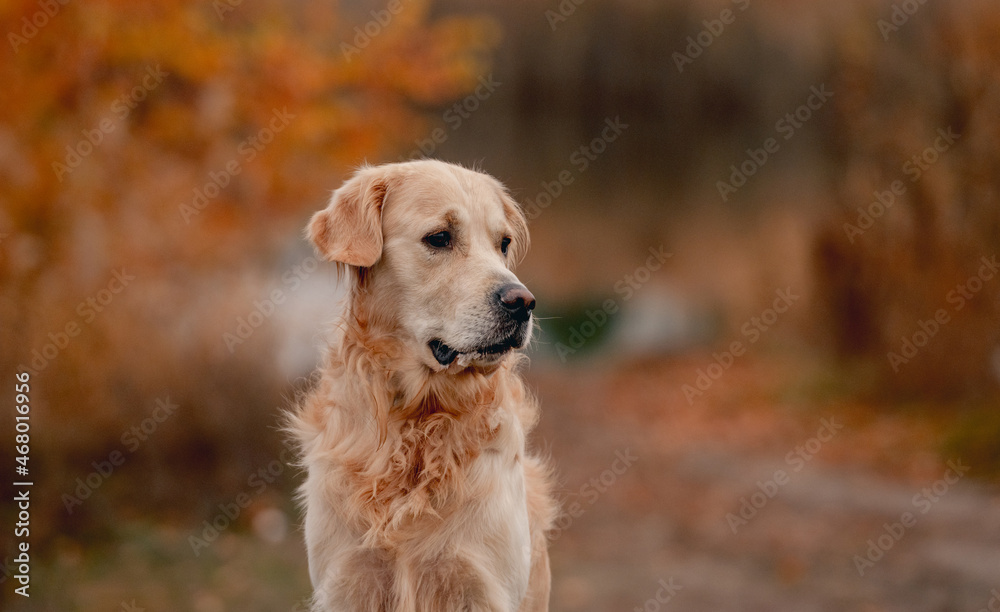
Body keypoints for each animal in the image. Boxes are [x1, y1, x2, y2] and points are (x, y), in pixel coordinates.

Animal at [288, 160, 556, 608]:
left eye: (503, 243)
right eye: (440, 238)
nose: (523, 302)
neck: (416, 422)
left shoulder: (481, 584)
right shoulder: (348, 581)